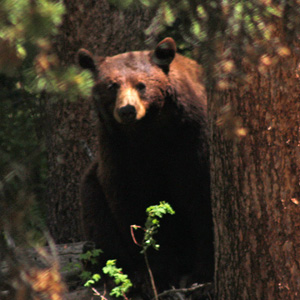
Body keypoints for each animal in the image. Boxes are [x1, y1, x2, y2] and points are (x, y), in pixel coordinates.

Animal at [77, 37, 213, 296]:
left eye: (141, 85)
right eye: (112, 86)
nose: (127, 110)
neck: (150, 131)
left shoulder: (192, 140)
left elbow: (201, 200)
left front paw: (201, 276)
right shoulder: (120, 150)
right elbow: (131, 203)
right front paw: (157, 276)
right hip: (93, 183)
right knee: (95, 210)